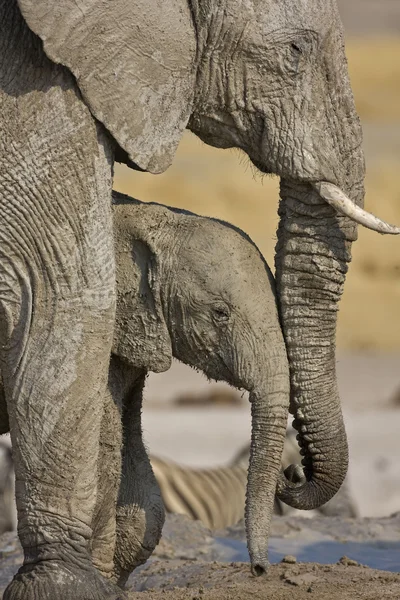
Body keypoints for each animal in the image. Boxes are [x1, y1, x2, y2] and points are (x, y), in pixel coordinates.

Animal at [0, 0, 396, 596]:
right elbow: (63, 296)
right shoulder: (37, 99)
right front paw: (67, 587)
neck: (147, 214)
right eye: (295, 51)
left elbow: (126, 454)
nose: (293, 475)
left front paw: (106, 579)